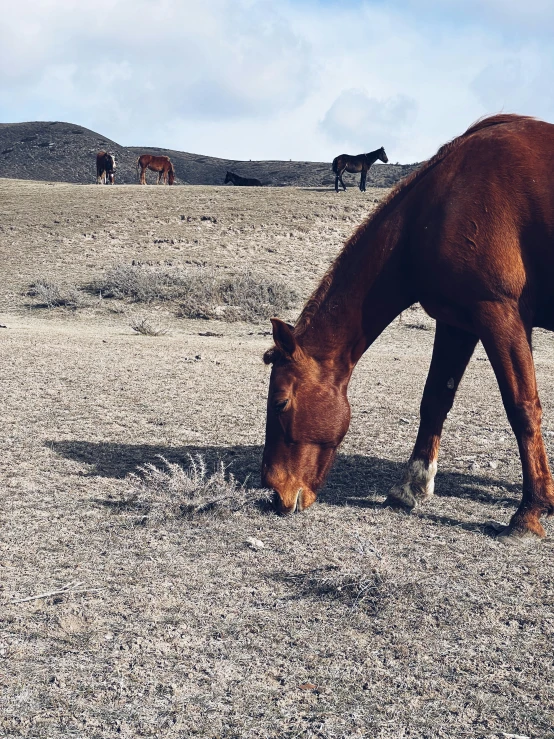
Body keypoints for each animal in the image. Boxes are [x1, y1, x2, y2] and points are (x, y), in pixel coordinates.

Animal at [260, 115, 554, 544]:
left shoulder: (500, 314)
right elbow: (434, 399)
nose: (274, 491)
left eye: (281, 403)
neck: (443, 203)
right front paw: (411, 486)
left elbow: (522, 408)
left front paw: (529, 513)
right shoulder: (456, 321)